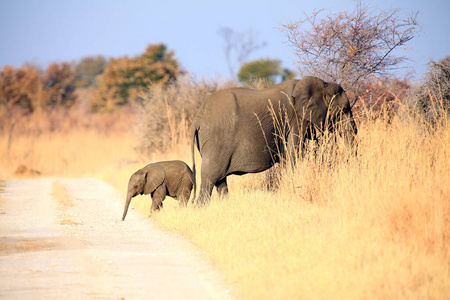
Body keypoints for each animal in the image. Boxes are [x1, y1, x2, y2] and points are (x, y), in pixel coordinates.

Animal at [192, 76, 356, 203]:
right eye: (344, 110)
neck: (322, 83)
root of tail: (198, 117)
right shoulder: (295, 119)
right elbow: (293, 154)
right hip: (216, 140)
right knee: (210, 178)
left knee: (220, 181)